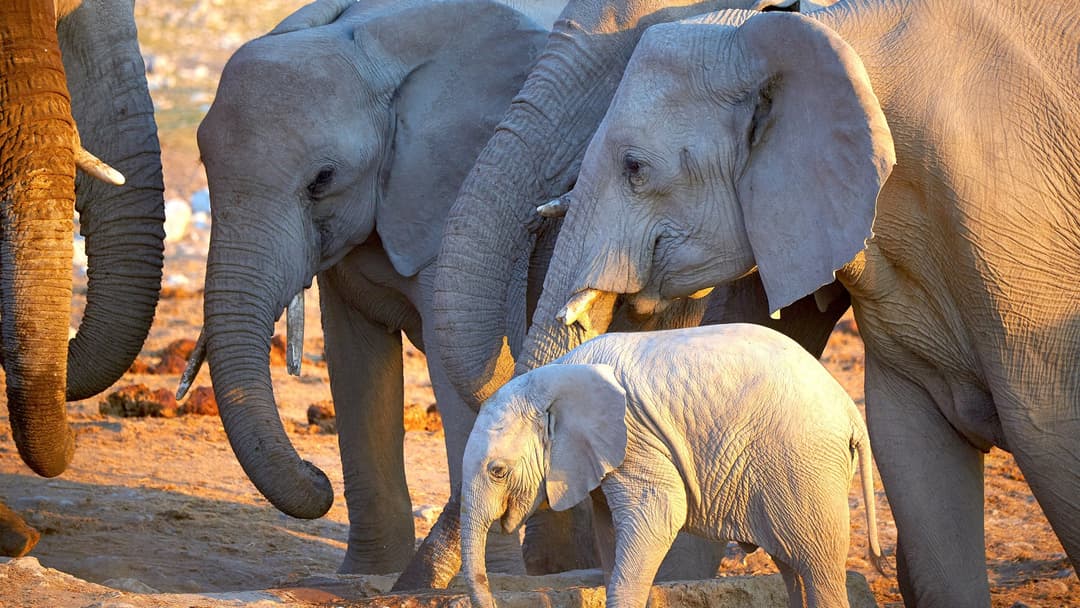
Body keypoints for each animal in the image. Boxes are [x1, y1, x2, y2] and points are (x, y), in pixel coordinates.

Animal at [185, 0, 551, 583]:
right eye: (204, 167)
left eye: (322, 179)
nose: (316, 476)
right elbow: (356, 366)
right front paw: (362, 576)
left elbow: (471, 365)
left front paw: (491, 580)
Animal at [461, 324, 886, 608]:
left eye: (497, 471)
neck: (554, 376)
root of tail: (849, 409)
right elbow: (609, 531)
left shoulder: (635, 438)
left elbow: (659, 514)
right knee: (792, 565)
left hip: (803, 465)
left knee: (817, 567)